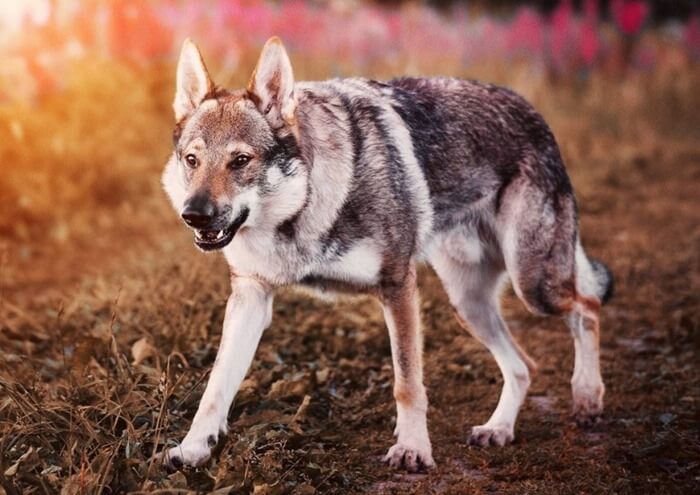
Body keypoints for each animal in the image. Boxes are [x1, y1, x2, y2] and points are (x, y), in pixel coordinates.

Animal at [161, 36, 613, 472]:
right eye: (192, 160)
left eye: (240, 161)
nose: (193, 215)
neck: (304, 210)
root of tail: (530, 107)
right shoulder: (251, 296)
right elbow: (216, 387)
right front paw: (192, 449)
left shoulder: (397, 286)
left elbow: (407, 384)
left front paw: (412, 450)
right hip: (469, 305)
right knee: (524, 366)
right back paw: (499, 429)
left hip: (532, 283)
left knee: (587, 306)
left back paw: (587, 397)